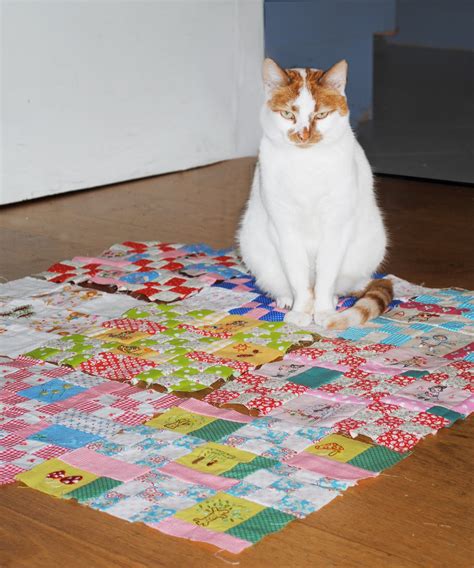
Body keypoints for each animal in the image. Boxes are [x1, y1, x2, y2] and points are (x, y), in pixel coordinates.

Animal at [239, 57, 390, 328]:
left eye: (321, 114)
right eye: (288, 113)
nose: (303, 134)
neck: (306, 165)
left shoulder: (336, 226)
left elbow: (326, 277)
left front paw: (323, 310)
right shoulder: (284, 226)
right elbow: (298, 276)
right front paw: (301, 310)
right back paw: (285, 299)